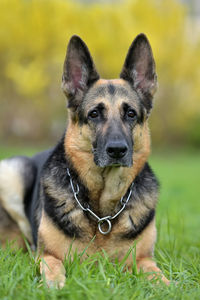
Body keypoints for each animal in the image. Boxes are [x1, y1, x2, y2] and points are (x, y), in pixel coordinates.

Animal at [0, 32, 169, 286]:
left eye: (130, 114)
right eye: (94, 114)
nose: (117, 150)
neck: (102, 214)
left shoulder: (144, 260)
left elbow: (162, 279)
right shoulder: (47, 255)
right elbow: (54, 266)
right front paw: (56, 285)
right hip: (12, 173)